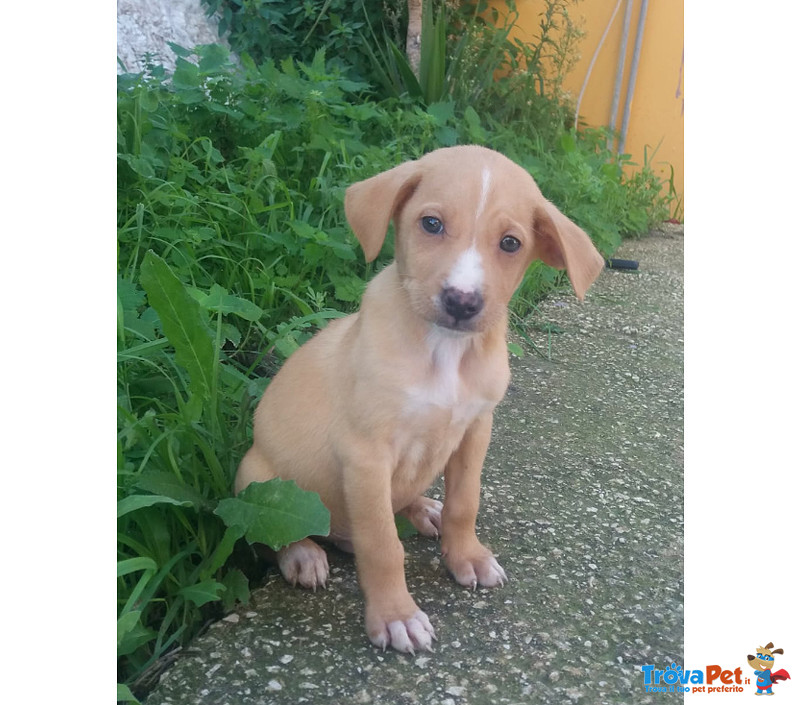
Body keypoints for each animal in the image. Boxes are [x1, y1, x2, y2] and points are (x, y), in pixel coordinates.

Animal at [234, 144, 604, 656]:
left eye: (511, 243)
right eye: (431, 224)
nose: (462, 302)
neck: (444, 350)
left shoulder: (475, 431)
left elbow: (465, 503)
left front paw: (465, 555)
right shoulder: (366, 455)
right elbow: (383, 546)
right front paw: (396, 616)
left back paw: (424, 508)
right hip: (255, 479)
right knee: (276, 532)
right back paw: (303, 555)